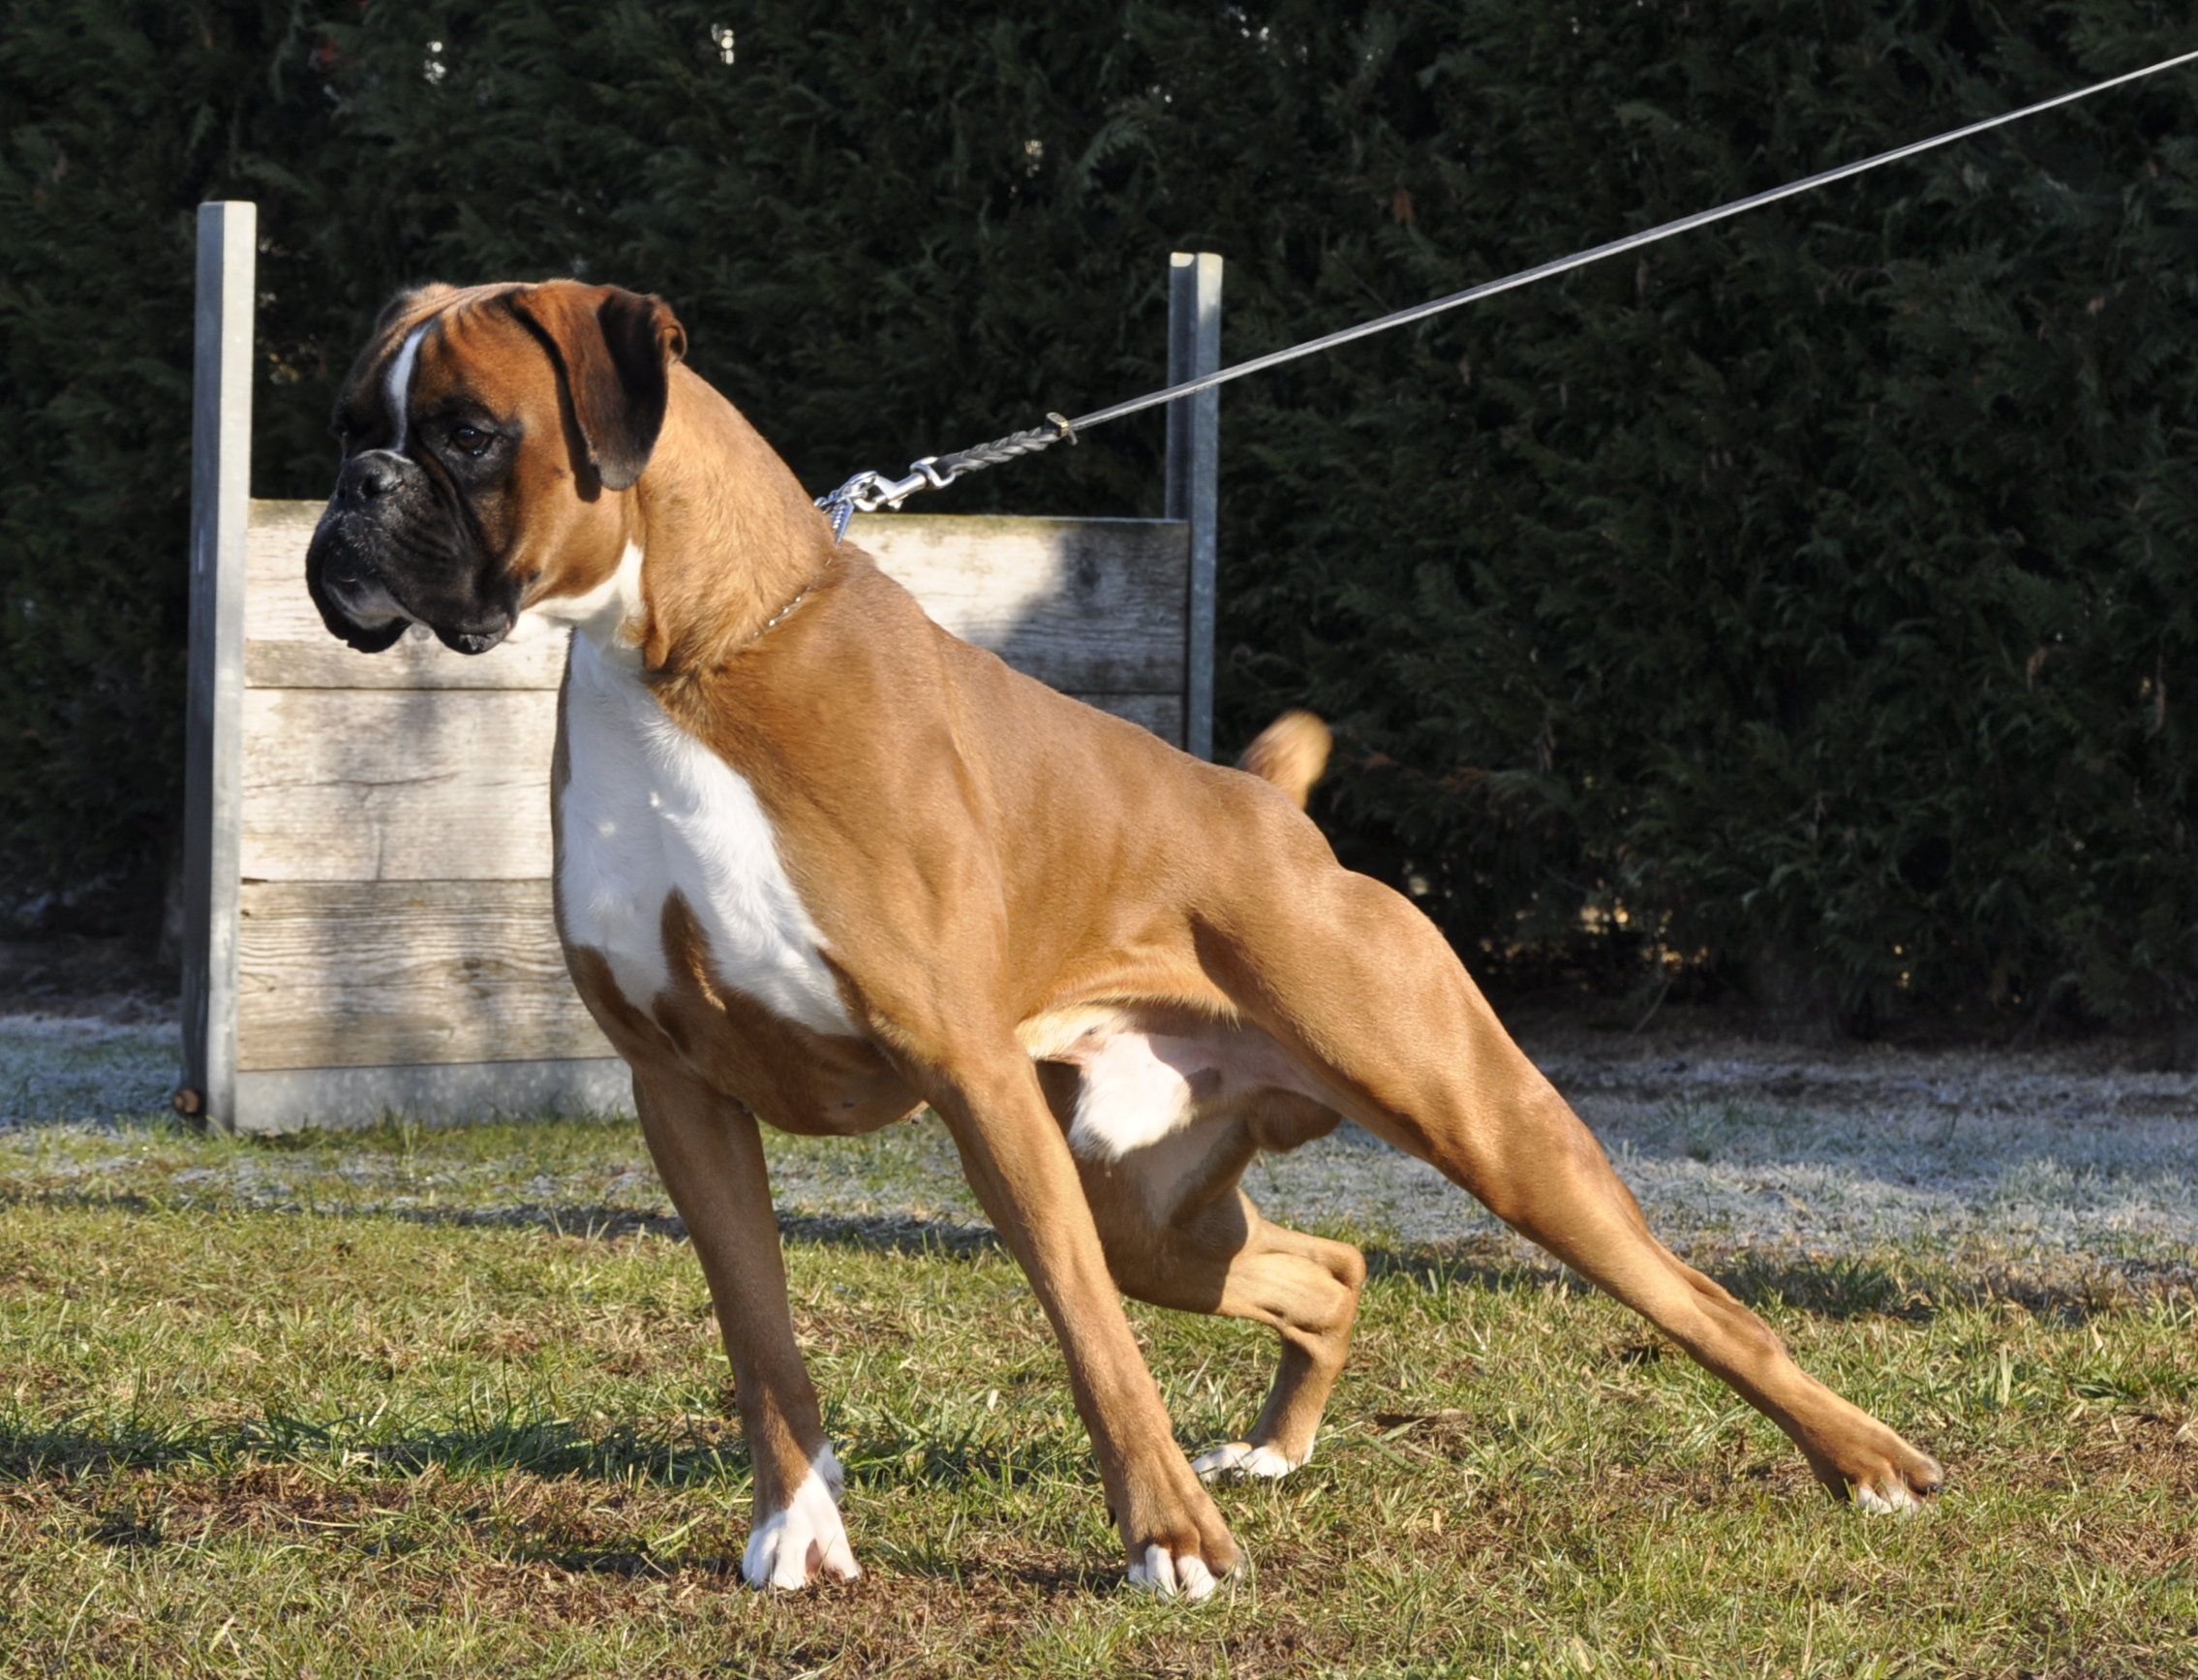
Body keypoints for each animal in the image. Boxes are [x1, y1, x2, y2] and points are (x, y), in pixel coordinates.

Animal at [305, 279, 1942, 1601]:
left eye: (465, 432)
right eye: (348, 425)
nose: (352, 492)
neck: (685, 659)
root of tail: (1270, 810)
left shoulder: (969, 1080)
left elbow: (1085, 1334)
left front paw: (1168, 1546)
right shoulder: (682, 1092)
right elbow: (759, 1333)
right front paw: (802, 1534)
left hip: (1476, 1121)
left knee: (1700, 1301)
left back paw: (1867, 1460)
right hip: (1145, 1196)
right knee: (1328, 1266)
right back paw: (1273, 1451)